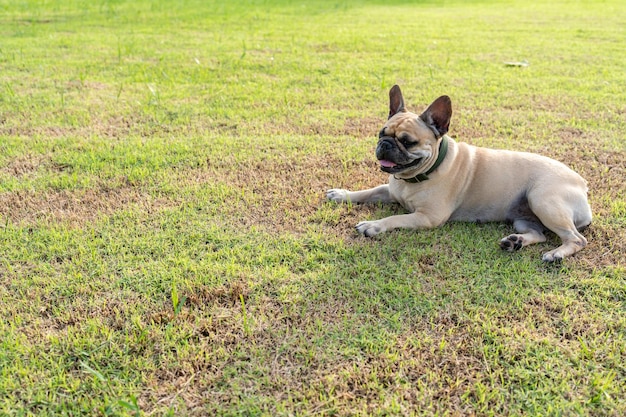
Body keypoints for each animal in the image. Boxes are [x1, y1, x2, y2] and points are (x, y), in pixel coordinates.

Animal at [326, 84, 588, 260]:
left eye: (408, 142)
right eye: (382, 133)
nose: (385, 145)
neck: (414, 178)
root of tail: (582, 185)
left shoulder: (427, 217)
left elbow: (395, 218)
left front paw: (373, 225)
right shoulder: (389, 190)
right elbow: (368, 191)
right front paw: (342, 194)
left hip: (542, 200)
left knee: (577, 239)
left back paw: (556, 254)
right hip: (523, 217)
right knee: (539, 234)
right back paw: (515, 241)